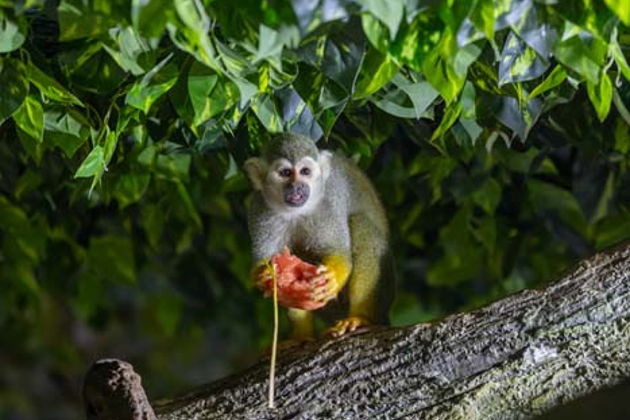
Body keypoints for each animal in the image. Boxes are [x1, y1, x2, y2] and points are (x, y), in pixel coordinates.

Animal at [244, 134, 392, 338]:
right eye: (285, 173)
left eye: (305, 171)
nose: (297, 186)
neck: (296, 211)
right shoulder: (259, 207)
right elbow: (265, 260)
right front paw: (264, 275)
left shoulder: (327, 203)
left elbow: (339, 254)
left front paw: (331, 279)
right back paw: (301, 335)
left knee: (361, 223)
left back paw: (360, 318)